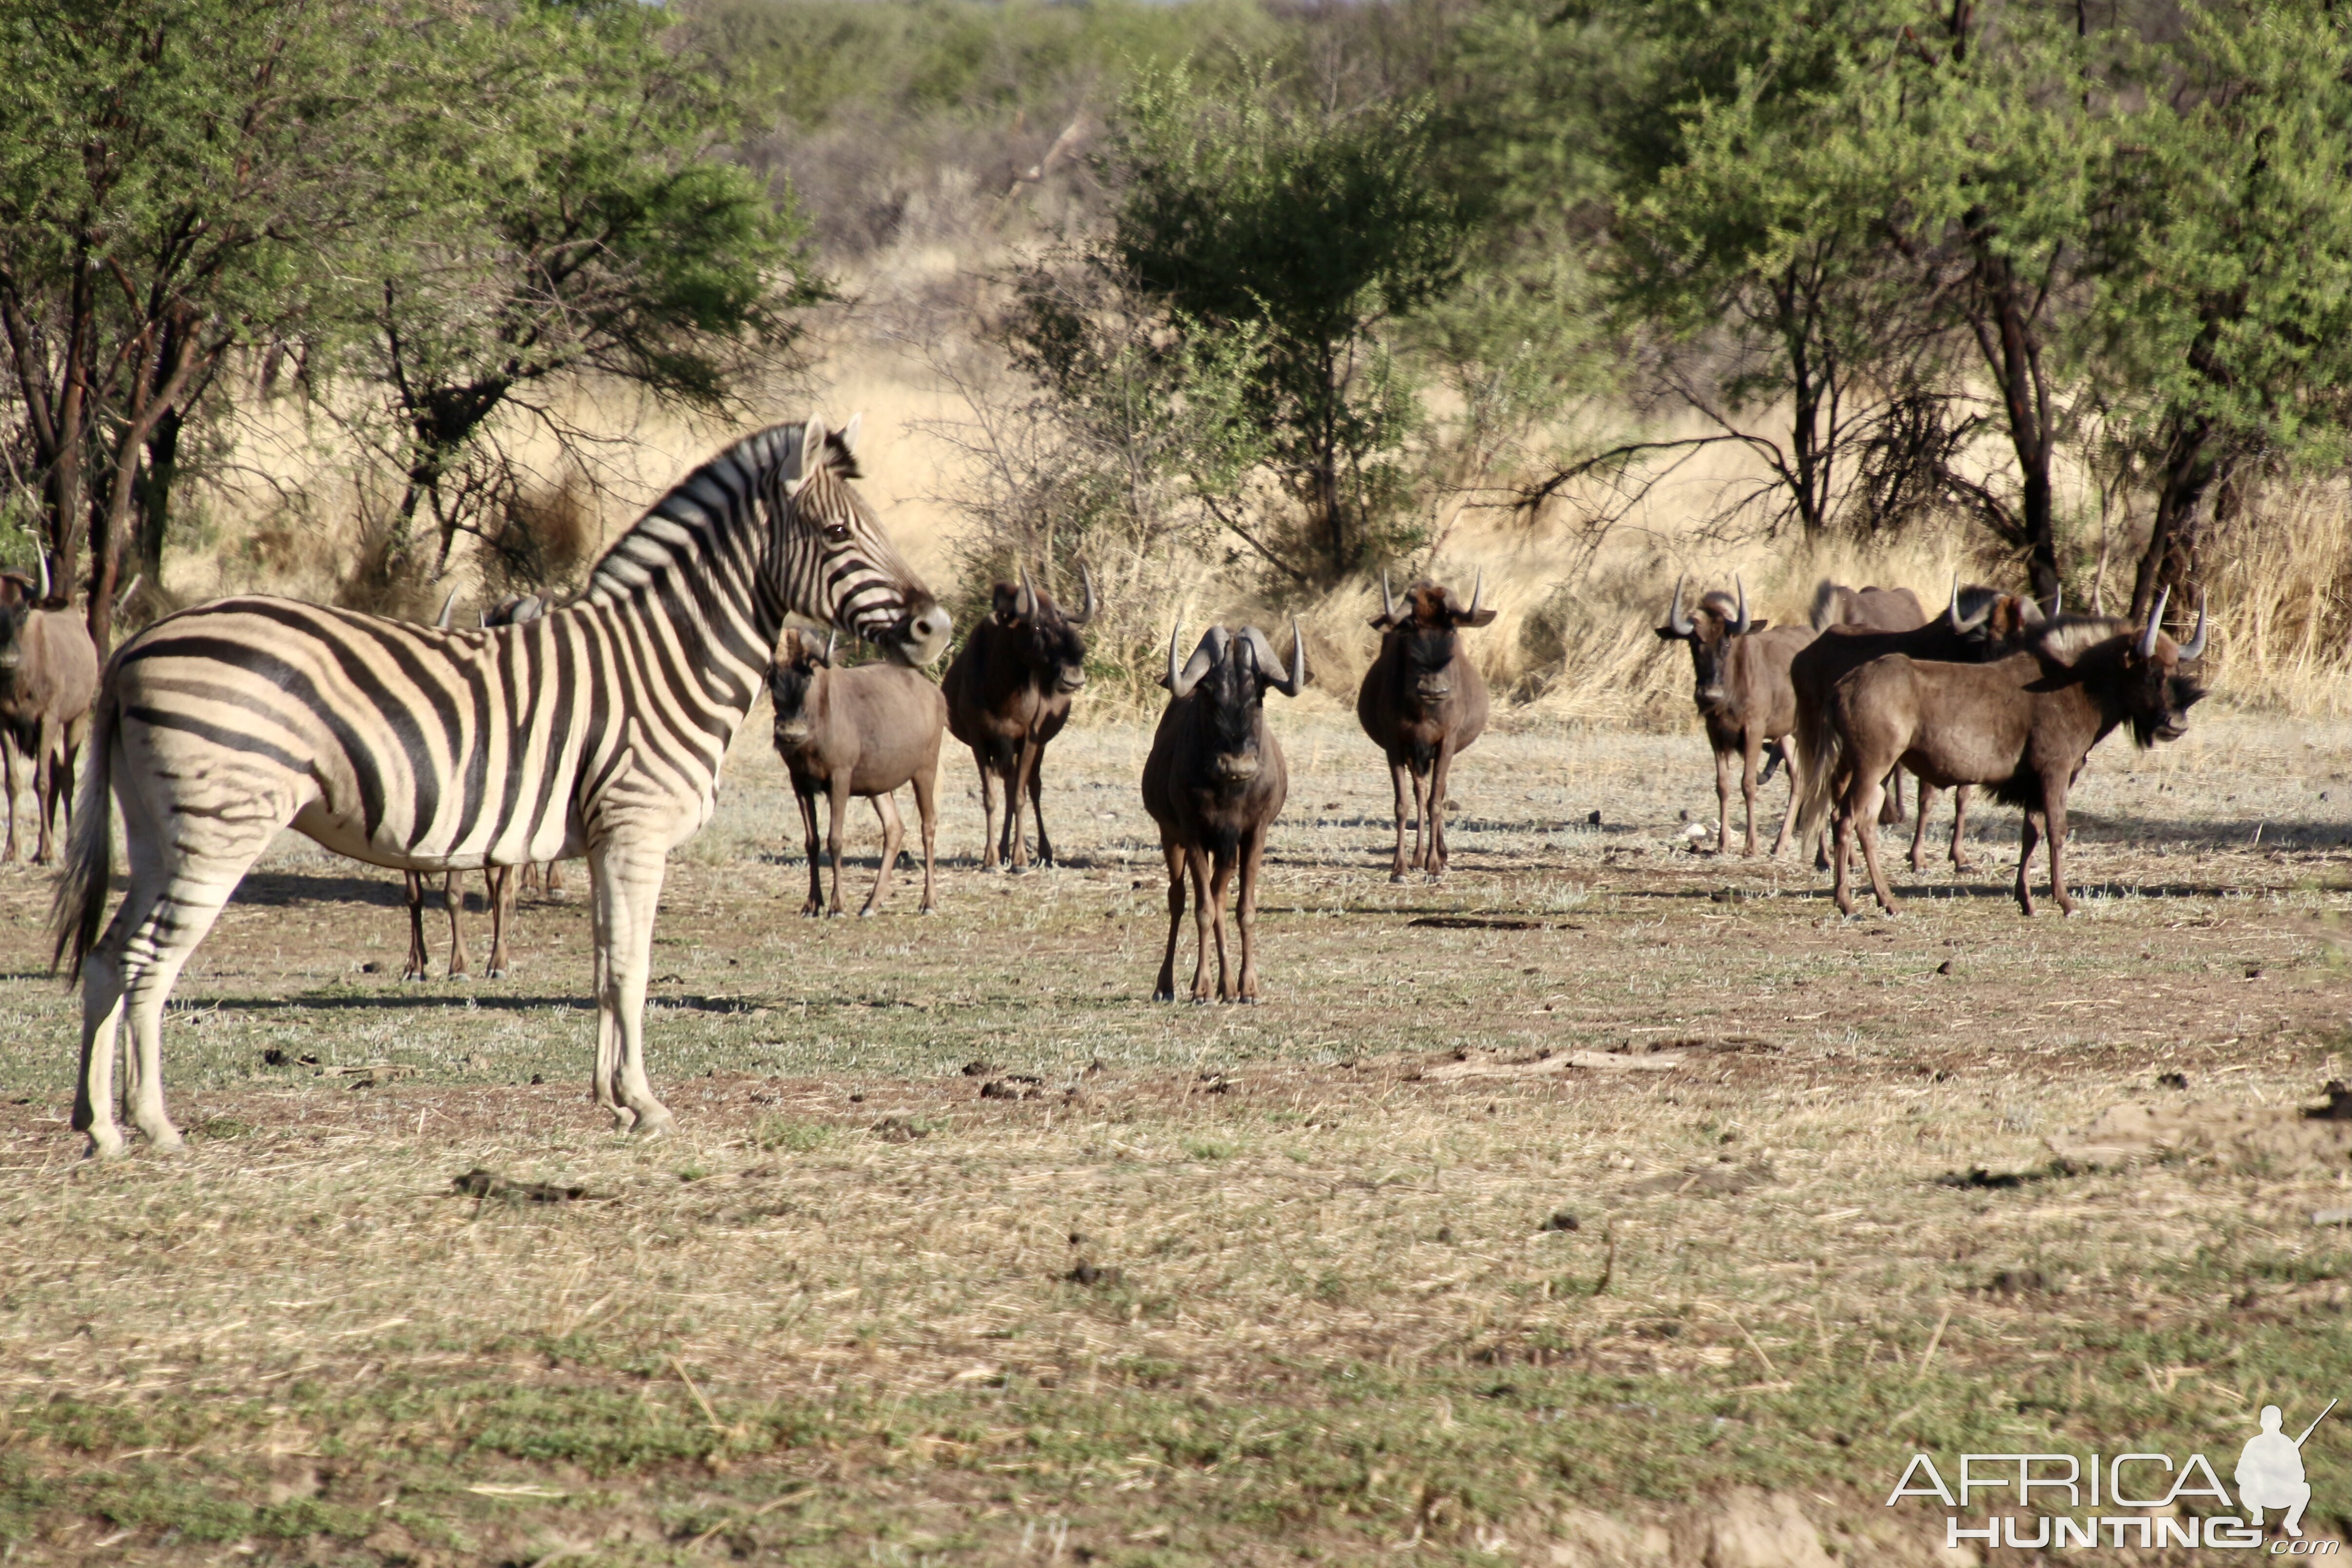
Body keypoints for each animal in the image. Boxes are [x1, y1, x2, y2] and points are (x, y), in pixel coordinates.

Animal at [55, 416, 941, 1152]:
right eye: (838, 530)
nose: (935, 625)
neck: (667, 656)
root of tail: (133, 650)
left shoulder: (605, 836)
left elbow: (603, 965)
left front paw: (613, 1100)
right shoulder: (638, 826)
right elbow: (632, 968)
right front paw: (647, 1104)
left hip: (157, 830)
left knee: (104, 958)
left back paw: (98, 1125)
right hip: (219, 827)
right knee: (149, 964)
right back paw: (155, 1125)